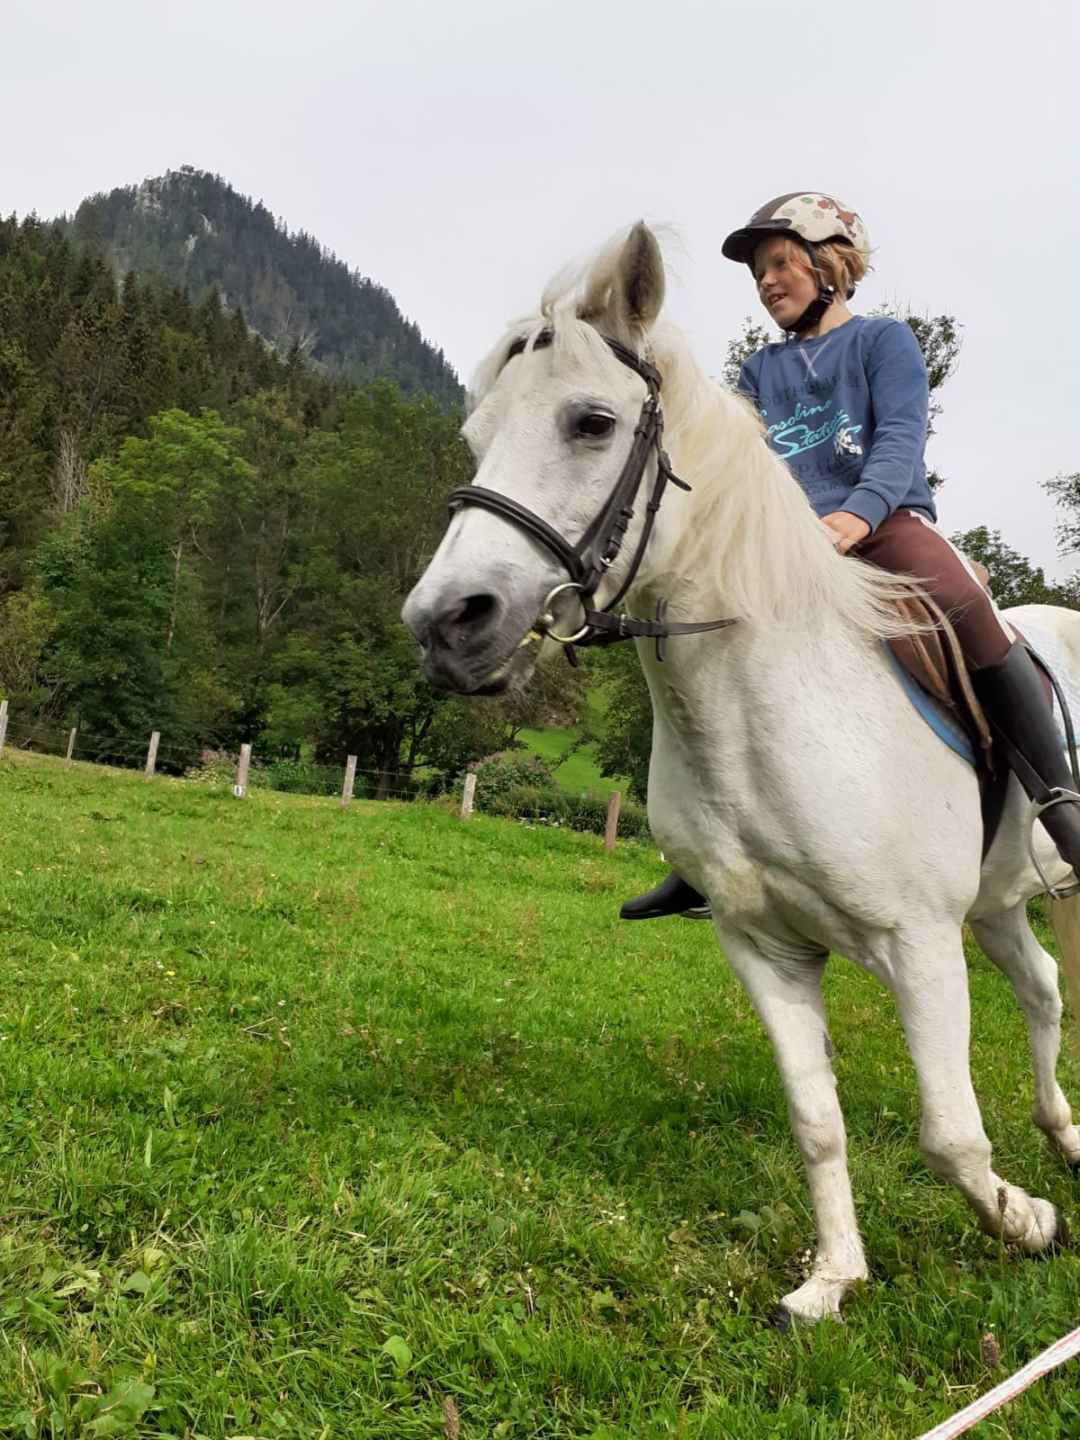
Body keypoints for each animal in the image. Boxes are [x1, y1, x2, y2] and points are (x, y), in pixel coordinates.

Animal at [406, 227, 1080, 1324]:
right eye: (478, 436)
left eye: (591, 421)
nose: (446, 624)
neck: (772, 708)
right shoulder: (766, 949)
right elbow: (818, 1122)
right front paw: (832, 1280)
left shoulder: (918, 944)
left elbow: (949, 1136)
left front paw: (1026, 1223)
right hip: (998, 904)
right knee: (1044, 989)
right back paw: (1065, 1135)